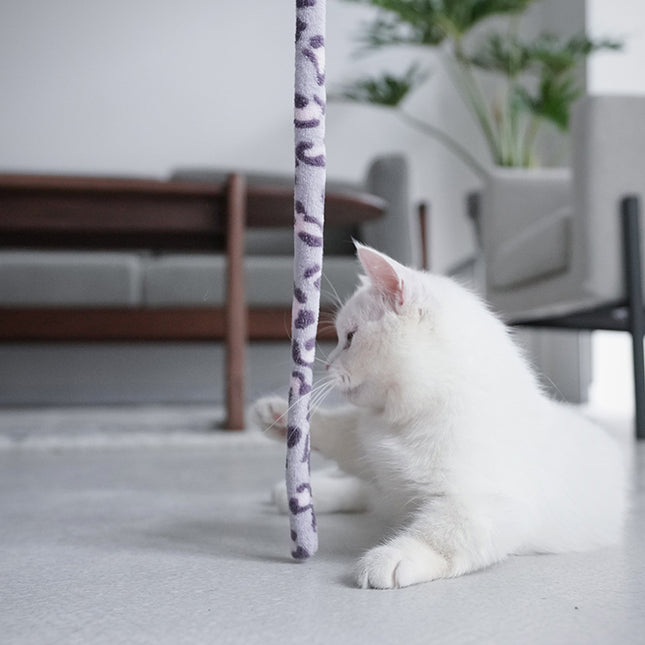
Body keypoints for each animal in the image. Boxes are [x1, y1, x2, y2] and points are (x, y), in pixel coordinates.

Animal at [250, 243, 624, 588]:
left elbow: (438, 534)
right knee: (359, 488)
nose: (327, 365)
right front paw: (280, 415)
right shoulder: (365, 444)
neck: (404, 420)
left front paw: (391, 557)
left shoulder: (483, 506)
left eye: (350, 338)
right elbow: (338, 430)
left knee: (366, 495)